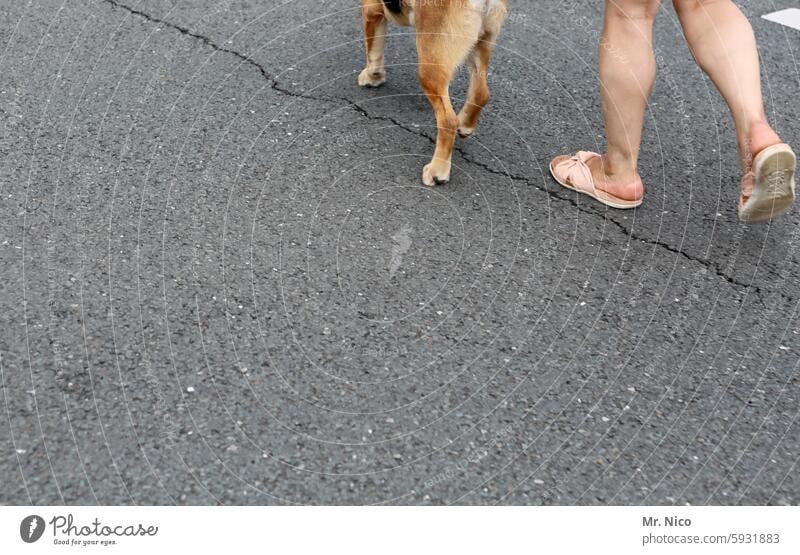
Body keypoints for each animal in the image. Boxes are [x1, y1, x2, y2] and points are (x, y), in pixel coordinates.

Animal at [360, 0, 510, 187]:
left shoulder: (371, 9)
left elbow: (373, 51)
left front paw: (372, 76)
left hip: (430, 66)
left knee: (448, 121)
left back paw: (437, 171)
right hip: (481, 46)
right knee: (481, 94)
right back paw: (465, 125)